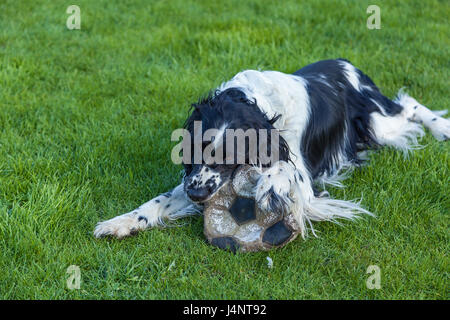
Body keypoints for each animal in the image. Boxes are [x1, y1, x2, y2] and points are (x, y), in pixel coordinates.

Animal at [93, 59, 448, 240]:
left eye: (230, 157)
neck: (250, 101)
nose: (196, 195)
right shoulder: (198, 181)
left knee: (409, 104)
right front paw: (119, 222)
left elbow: (283, 172)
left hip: (377, 123)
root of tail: (351, 67)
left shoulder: (301, 178)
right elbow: (158, 201)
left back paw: (442, 127)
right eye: (196, 148)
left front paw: (269, 188)